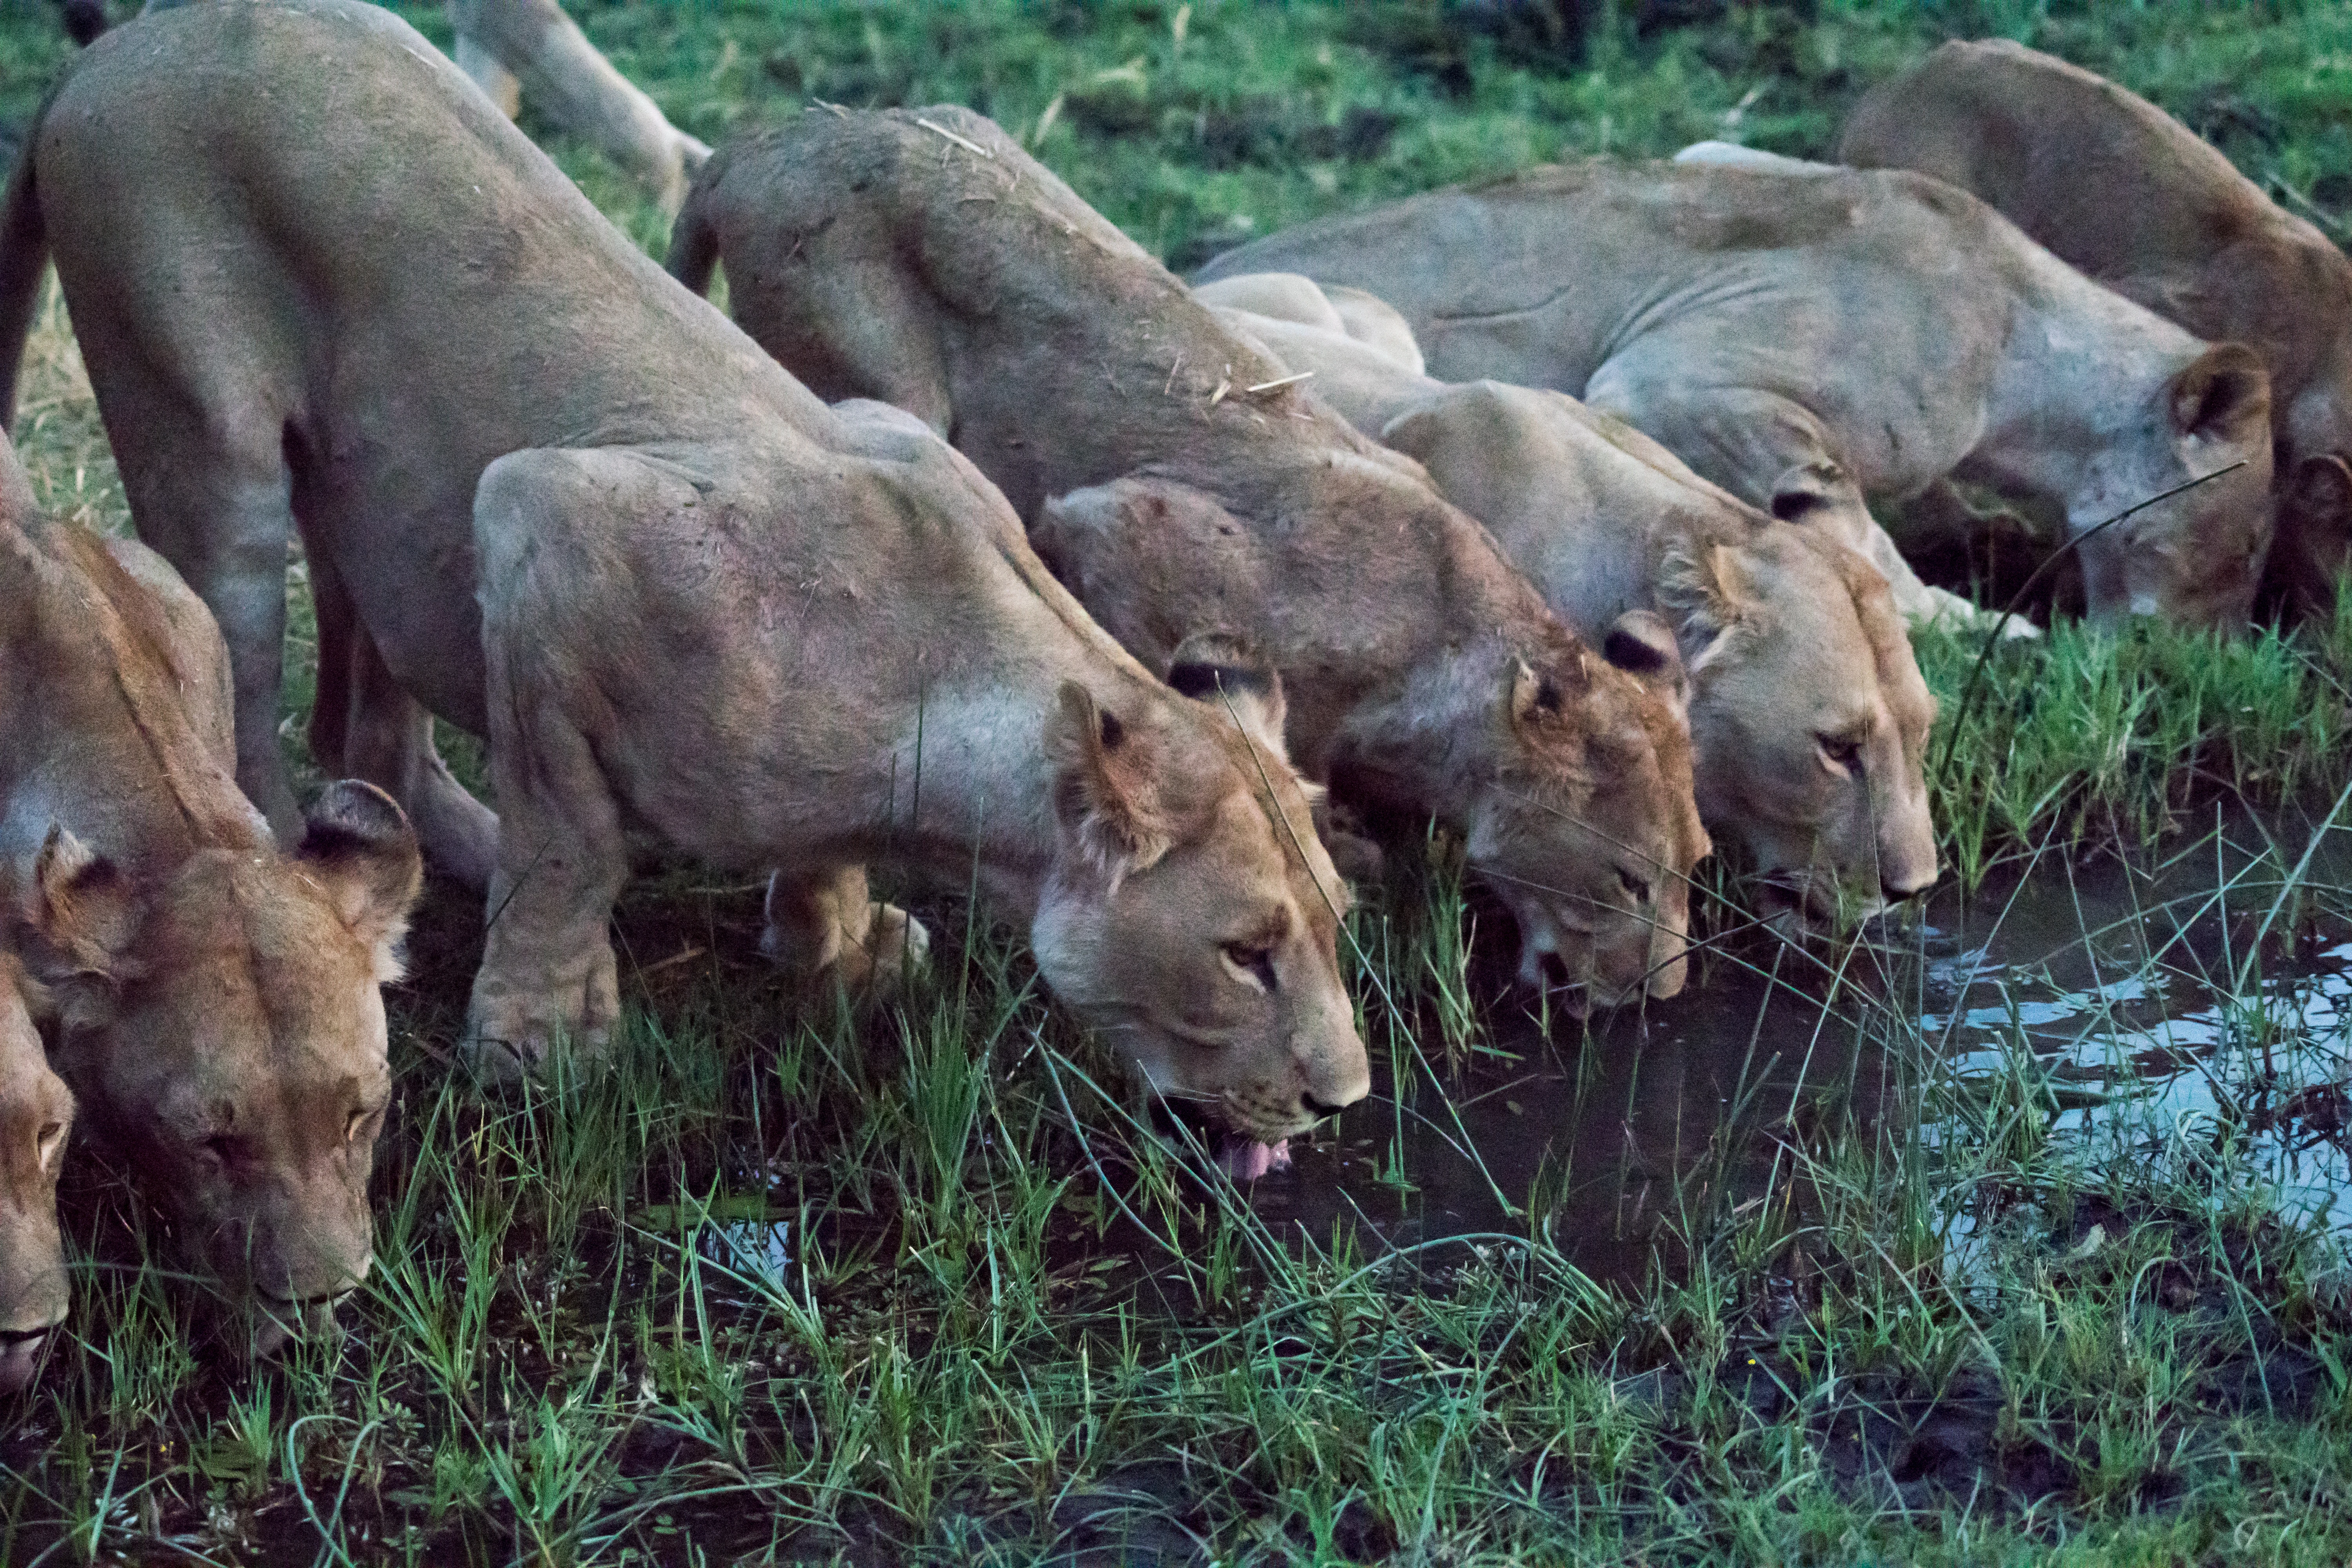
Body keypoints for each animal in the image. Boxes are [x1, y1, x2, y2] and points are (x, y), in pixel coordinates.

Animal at [0, 0, 1367, 1164]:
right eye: (1246, 951)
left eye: (1338, 922)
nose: (1340, 1099)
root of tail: (114, 46)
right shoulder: (540, 518)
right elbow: (569, 840)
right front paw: (544, 1038)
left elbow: (801, 858)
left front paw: (837, 943)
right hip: (204, 446)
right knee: (245, 705)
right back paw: (308, 903)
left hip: (364, 496)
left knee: (368, 728)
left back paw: (415, 865)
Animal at [668, 106, 1709, 1008]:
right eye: (1627, 877)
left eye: (1696, 867)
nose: (1660, 995)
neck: (1445, 662)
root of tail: (766, 139)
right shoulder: (1112, 529)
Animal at [1195, 155, 2277, 629]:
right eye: (2245, 549)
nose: (2185, 663)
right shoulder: (1667, 378)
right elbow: (1853, 527)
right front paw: (1980, 630)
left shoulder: (1718, 157)